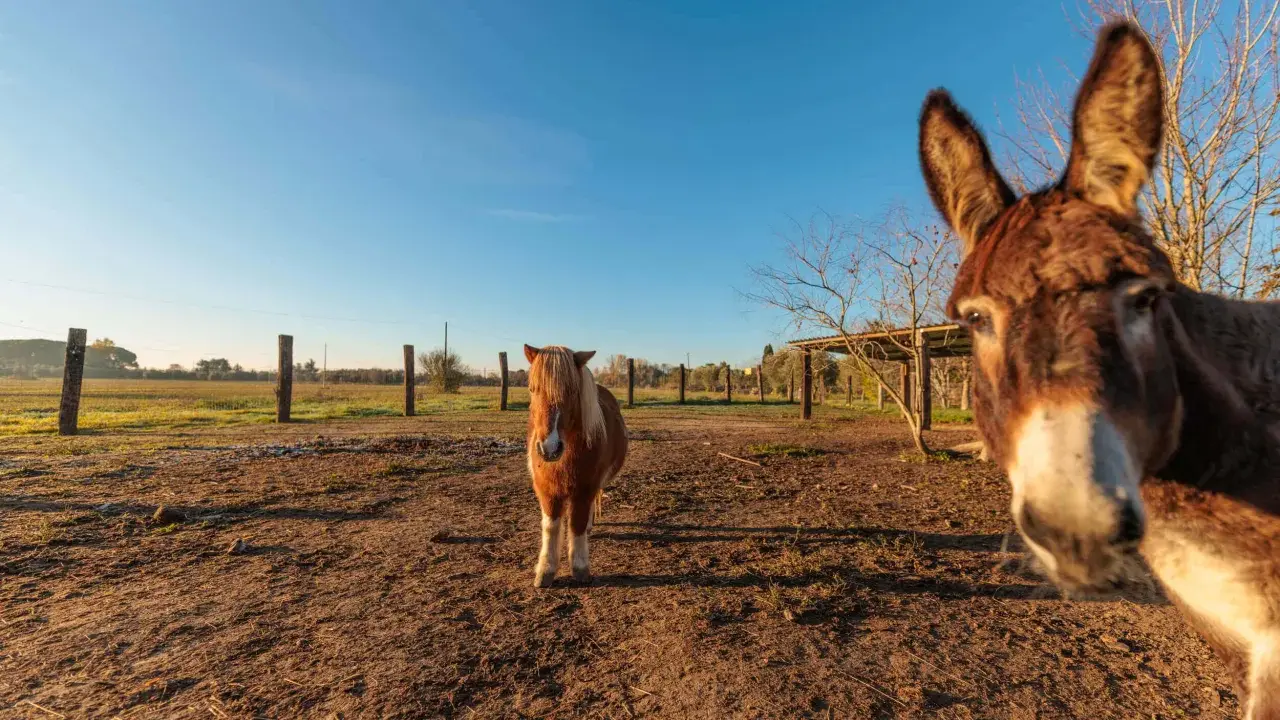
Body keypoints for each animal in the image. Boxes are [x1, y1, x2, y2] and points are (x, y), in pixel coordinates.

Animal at [523, 344, 628, 587]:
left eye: (572, 391)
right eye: (533, 389)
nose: (549, 448)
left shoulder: (585, 489)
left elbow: (577, 523)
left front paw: (580, 569)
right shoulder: (546, 490)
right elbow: (551, 526)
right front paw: (545, 570)